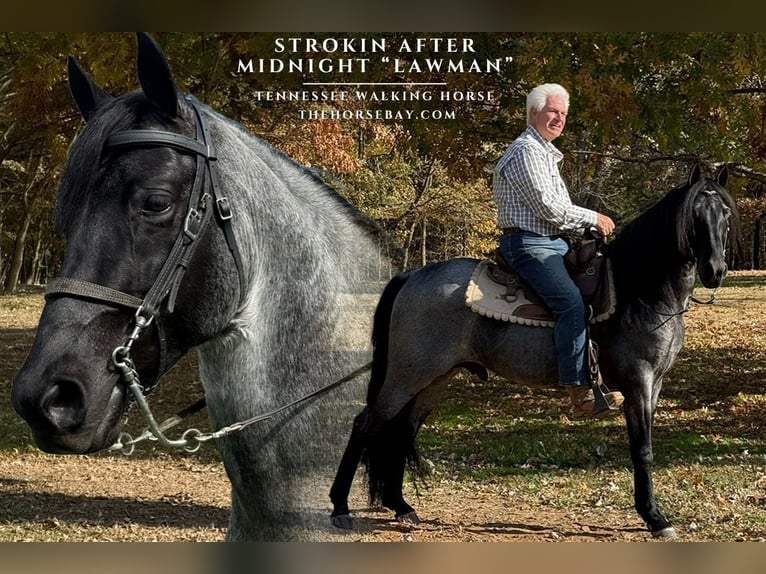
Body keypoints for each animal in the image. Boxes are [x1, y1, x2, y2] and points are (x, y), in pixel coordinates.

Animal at [329, 164, 741, 538]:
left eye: (725, 213)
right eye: (695, 214)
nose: (715, 270)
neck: (639, 292)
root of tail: (412, 275)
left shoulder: (655, 385)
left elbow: (644, 446)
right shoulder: (638, 383)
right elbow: (643, 449)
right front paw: (655, 518)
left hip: (434, 380)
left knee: (402, 430)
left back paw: (401, 506)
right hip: (407, 375)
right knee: (366, 423)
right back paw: (340, 508)